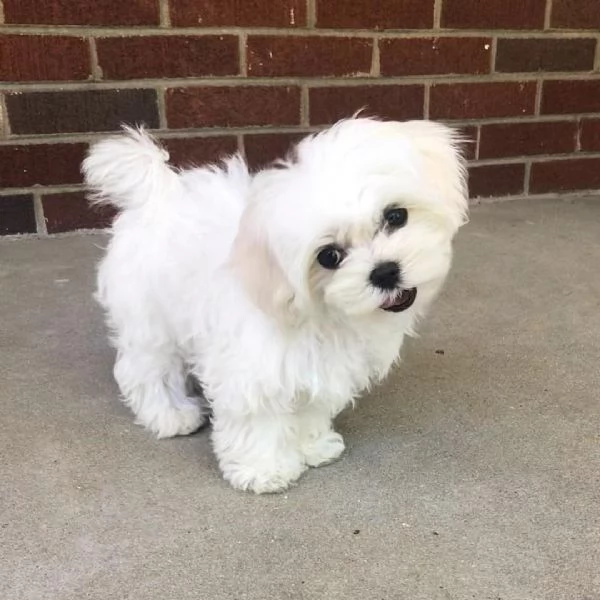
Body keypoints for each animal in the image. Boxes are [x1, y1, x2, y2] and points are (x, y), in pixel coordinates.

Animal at [83, 117, 468, 492]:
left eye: (396, 216)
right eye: (329, 256)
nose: (385, 271)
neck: (323, 314)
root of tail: (157, 194)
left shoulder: (321, 365)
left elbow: (311, 405)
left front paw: (313, 445)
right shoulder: (252, 365)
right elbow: (258, 417)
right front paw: (263, 469)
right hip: (149, 320)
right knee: (148, 370)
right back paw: (170, 414)